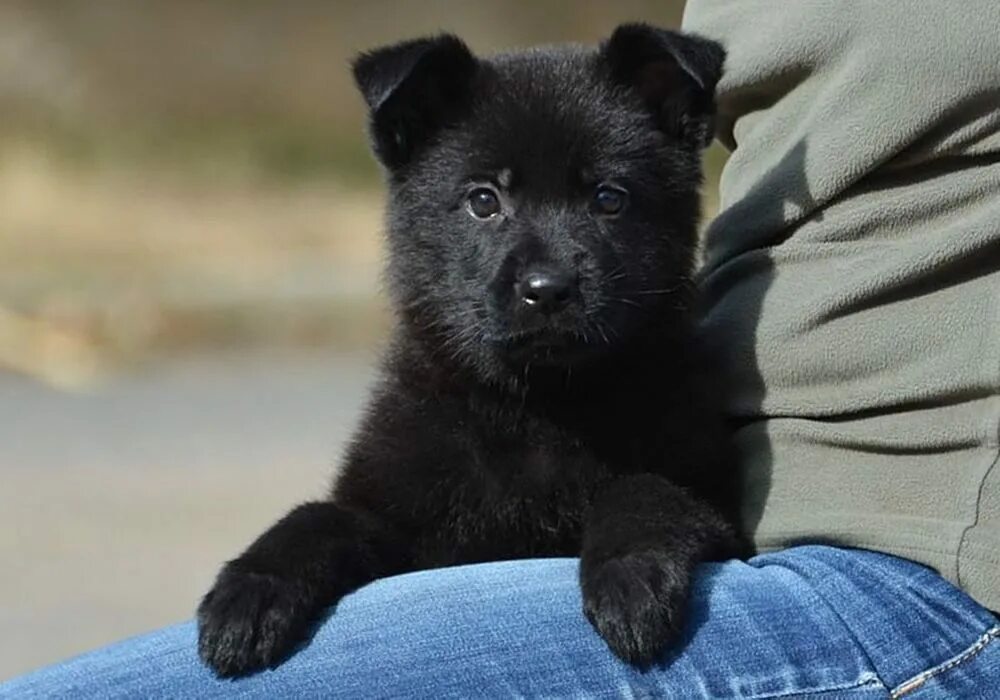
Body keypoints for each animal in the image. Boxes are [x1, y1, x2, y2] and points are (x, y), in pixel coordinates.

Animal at [197, 24, 744, 676]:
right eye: (484, 201)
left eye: (609, 198)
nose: (548, 289)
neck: (536, 407)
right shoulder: (394, 517)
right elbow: (319, 517)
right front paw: (251, 589)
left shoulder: (717, 506)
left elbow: (644, 489)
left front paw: (630, 579)